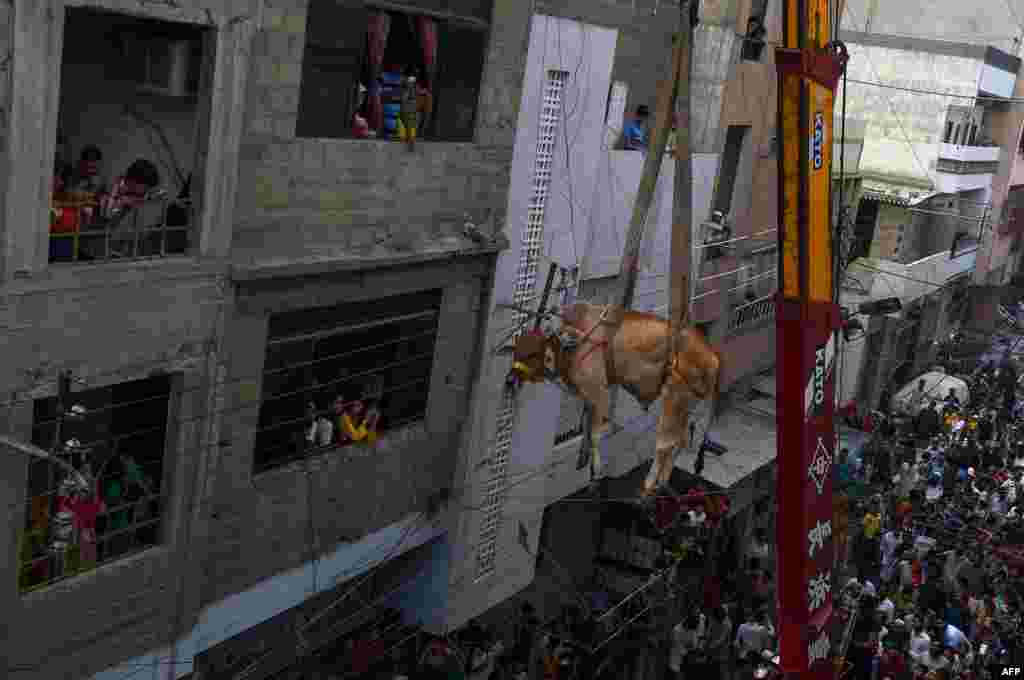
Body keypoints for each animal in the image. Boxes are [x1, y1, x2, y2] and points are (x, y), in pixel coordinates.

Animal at [505, 303, 720, 493]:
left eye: (533, 353)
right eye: (516, 350)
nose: (510, 379)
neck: (573, 345)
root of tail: (713, 358)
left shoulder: (599, 393)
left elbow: (595, 435)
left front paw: (597, 473)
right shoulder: (589, 401)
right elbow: (588, 430)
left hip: (674, 398)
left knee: (666, 443)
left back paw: (648, 484)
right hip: (686, 406)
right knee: (681, 441)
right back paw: (662, 482)